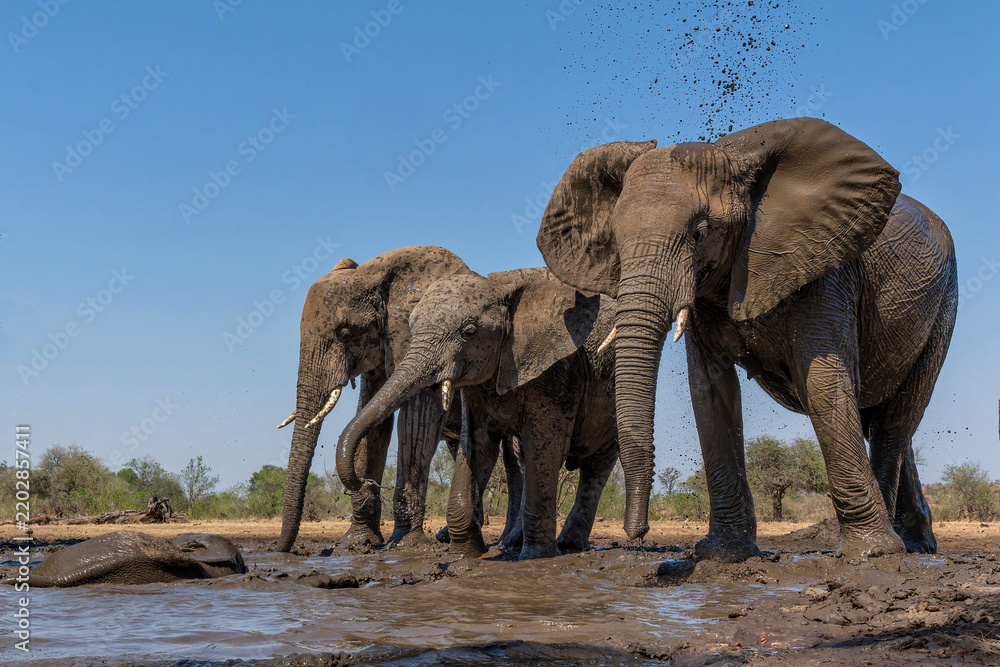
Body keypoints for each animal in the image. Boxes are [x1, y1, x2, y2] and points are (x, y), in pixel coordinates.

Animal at [336, 266, 620, 559]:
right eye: (412, 329)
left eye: (469, 332)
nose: (365, 481)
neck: (501, 288)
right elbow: (478, 446)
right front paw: (468, 552)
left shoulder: (557, 372)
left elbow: (545, 447)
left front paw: (535, 557)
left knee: (597, 463)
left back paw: (565, 545)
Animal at [536, 117, 957, 560]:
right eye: (614, 238)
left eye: (701, 232)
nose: (638, 533)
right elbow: (710, 391)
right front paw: (724, 553)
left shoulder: (825, 269)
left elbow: (824, 383)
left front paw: (870, 554)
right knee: (881, 419)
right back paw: (918, 544)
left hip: (943, 306)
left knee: (896, 419)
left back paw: (896, 547)